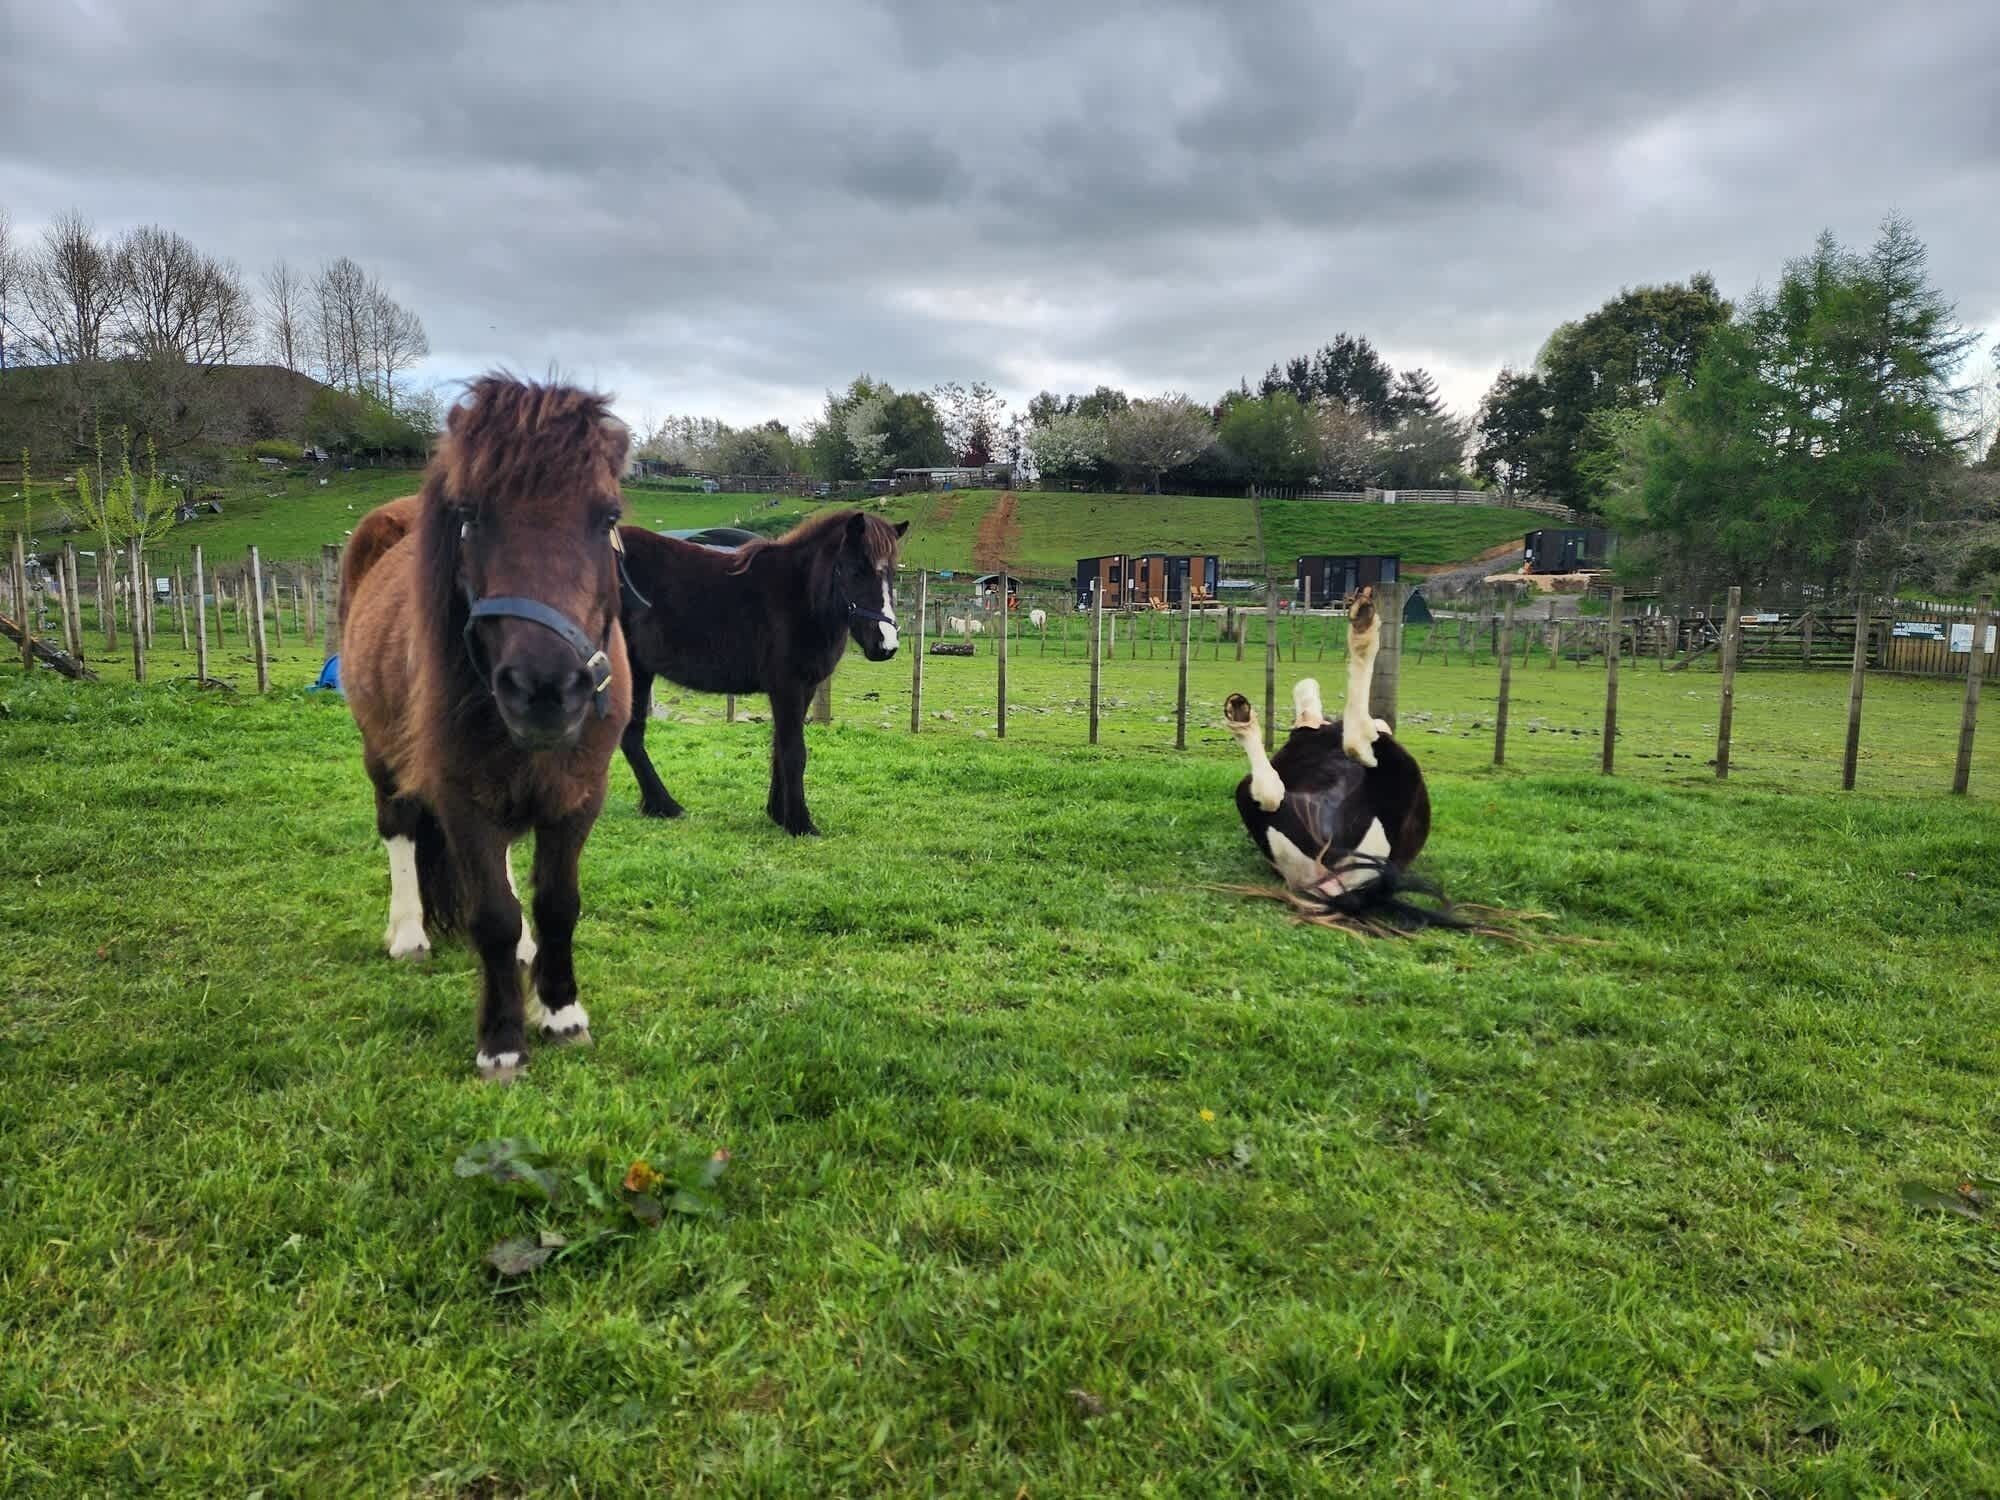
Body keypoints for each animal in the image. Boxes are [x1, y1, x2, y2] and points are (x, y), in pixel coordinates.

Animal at [339, 376, 635, 1082]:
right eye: (472, 514)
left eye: (607, 517)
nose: (545, 689)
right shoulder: (458, 793)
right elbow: (492, 914)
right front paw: (502, 1041)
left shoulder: (581, 793)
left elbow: (557, 904)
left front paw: (561, 1012)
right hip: (382, 755)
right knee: (397, 828)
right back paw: (409, 935)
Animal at [616, 509, 907, 836]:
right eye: (856, 571)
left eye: (891, 574)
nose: (886, 645)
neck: (801, 596)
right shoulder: (787, 687)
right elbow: (794, 752)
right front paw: (800, 823)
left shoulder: (804, 688)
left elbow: (780, 747)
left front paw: (778, 813)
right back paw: (664, 805)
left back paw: (658, 805)